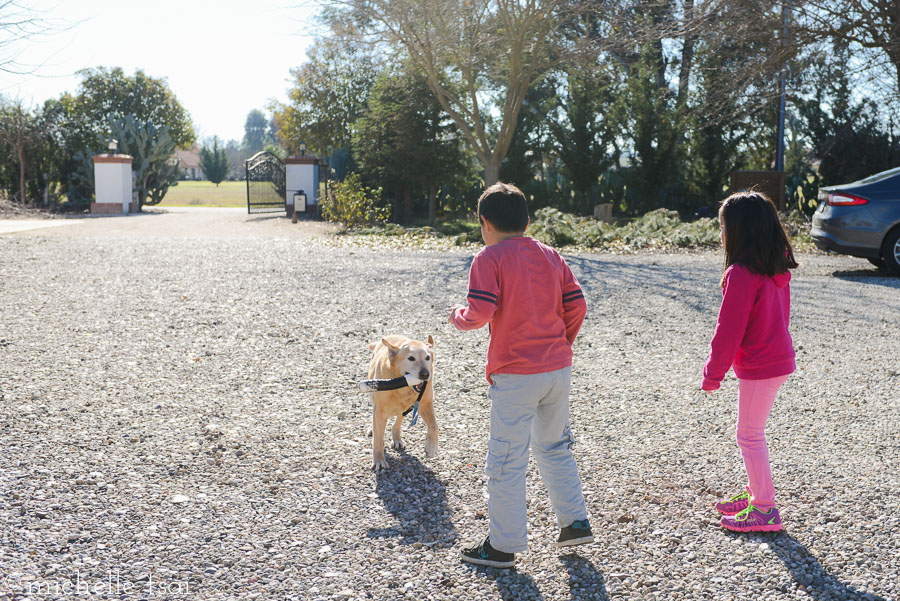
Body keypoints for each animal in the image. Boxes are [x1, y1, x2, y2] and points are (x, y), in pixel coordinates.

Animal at [364, 332, 438, 468]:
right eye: (411, 358)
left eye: (427, 357)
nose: (425, 374)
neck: (404, 385)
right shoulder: (380, 411)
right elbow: (378, 439)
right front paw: (379, 460)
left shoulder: (425, 403)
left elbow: (434, 425)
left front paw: (431, 448)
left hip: (406, 407)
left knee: (398, 420)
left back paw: (397, 438)